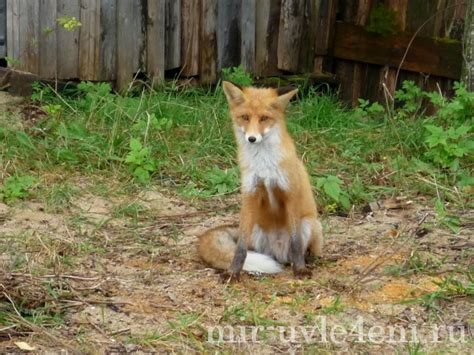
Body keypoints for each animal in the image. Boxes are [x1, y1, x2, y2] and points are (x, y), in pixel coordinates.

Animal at [198, 81, 324, 278]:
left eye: (264, 118)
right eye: (245, 117)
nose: (252, 138)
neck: (264, 164)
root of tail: (281, 254)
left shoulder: (290, 193)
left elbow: (296, 243)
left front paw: (300, 269)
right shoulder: (250, 194)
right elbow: (240, 248)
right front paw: (233, 271)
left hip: (309, 224)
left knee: (303, 250)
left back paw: (307, 260)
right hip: (257, 231)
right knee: (260, 252)